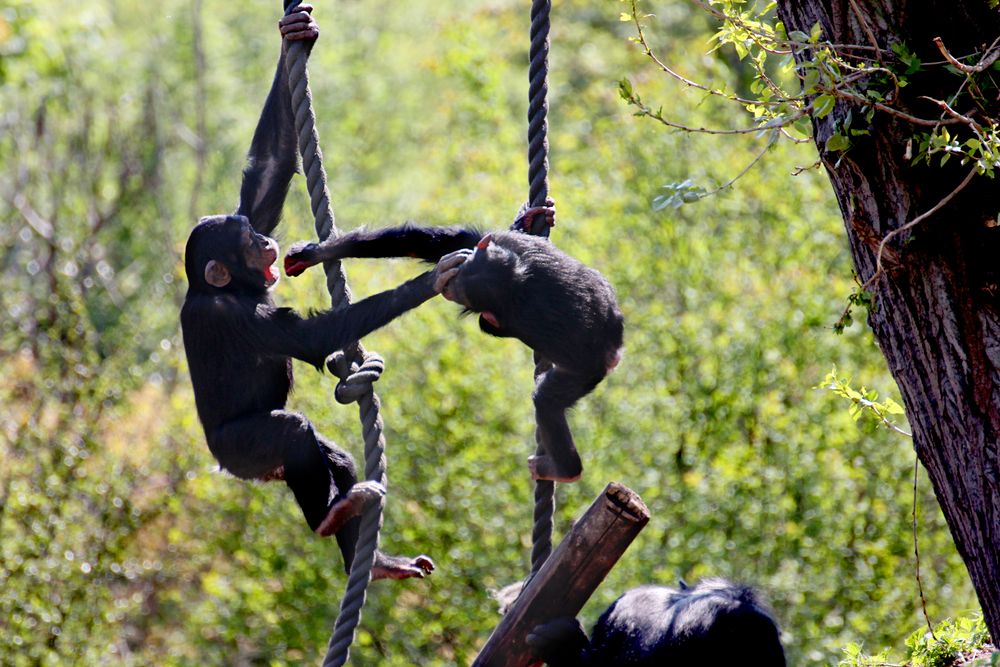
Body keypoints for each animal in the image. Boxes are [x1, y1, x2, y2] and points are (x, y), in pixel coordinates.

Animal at [180, 3, 450, 580]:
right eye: (247, 243)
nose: (265, 241)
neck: (239, 289)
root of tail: (227, 467)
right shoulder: (233, 318)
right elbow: (312, 337)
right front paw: (436, 277)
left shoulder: (259, 198)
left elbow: (269, 169)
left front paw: (295, 34)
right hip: (244, 451)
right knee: (292, 433)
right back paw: (330, 517)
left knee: (334, 454)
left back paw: (373, 556)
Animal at [282, 207, 620, 480]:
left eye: (458, 291)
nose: (448, 288)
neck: (518, 276)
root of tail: (615, 346)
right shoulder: (500, 243)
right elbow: (429, 241)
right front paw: (315, 254)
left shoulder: (508, 313)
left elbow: (490, 323)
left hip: (584, 372)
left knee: (547, 401)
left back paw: (564, 470)